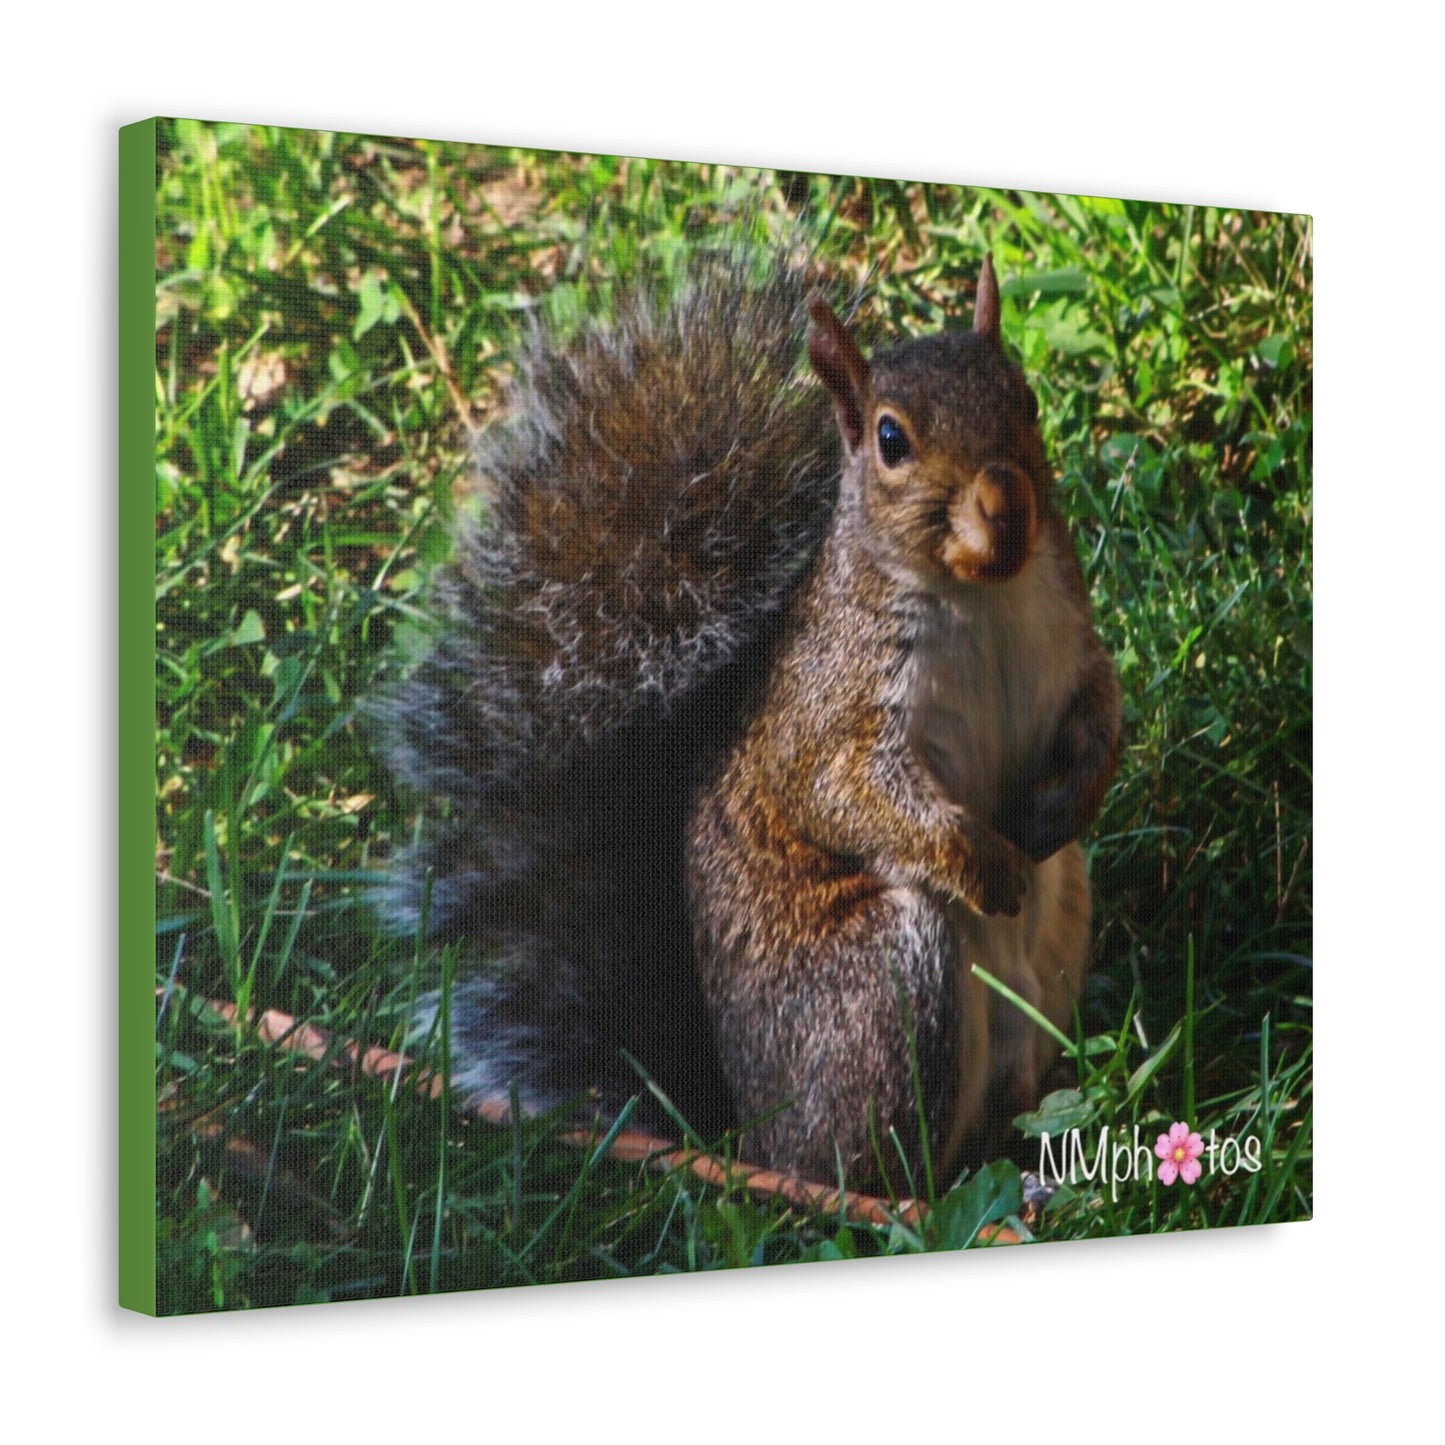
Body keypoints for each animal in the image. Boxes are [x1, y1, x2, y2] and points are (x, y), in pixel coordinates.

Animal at [375, 245, 1121, 1186]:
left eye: (1024, 397)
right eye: (890, 440)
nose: (1007, 503)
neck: (981, 594)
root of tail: (749, 1139)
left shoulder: (1070, 641)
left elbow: (1101, 711)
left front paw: (1072, 797)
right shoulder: (831, 709)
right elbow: (843, 796)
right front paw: (982, 864)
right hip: (882, 983)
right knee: (877, 1169)